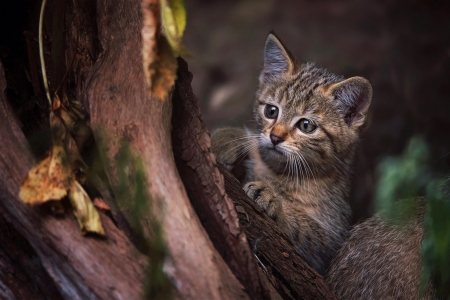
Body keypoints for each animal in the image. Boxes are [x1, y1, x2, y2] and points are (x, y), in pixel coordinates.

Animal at [211, 32, 372, 274]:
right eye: (271, 111)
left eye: (306, 125)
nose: (275, 137)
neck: (278, 171)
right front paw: (226, 138)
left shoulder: (331, 242)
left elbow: (306, 230)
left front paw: (273, 199)